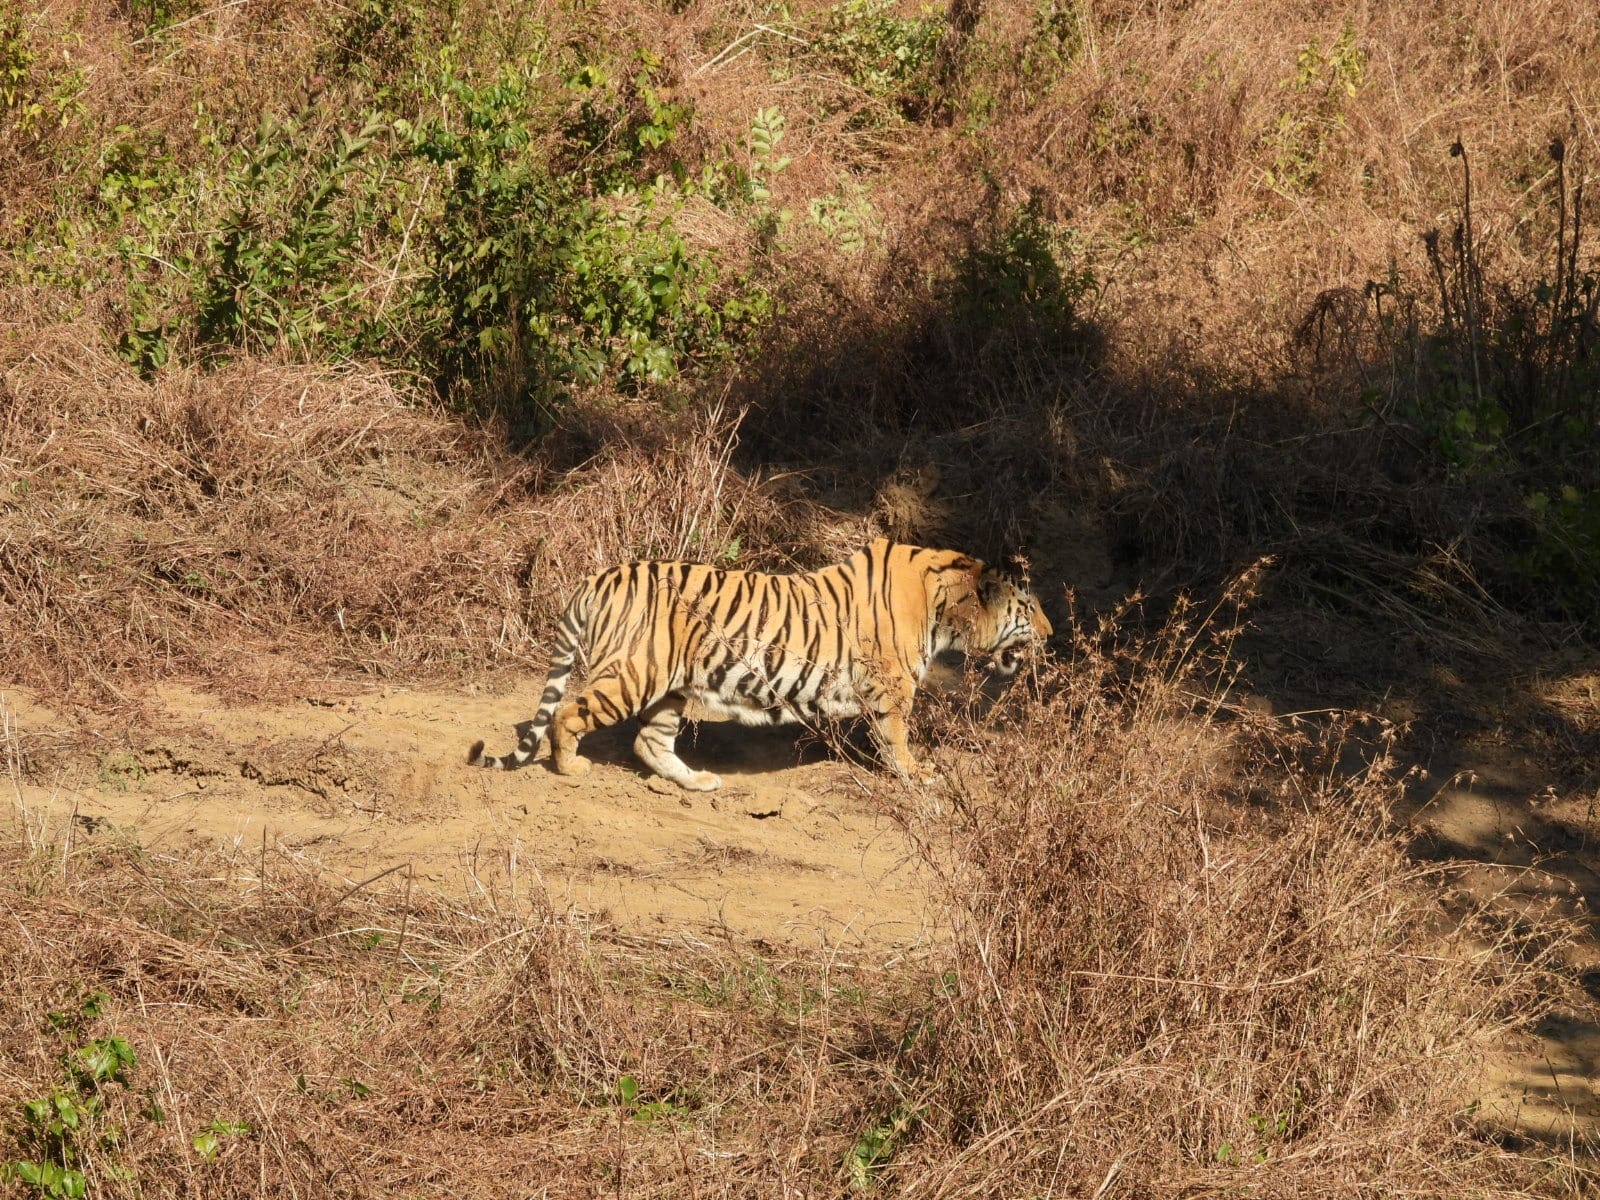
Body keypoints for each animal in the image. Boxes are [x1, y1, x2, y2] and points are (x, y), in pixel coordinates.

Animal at [468, 538, 1052, 791]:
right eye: (1028, 607)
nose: (1050, 635)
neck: (947, 607)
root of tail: (599, 576)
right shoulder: (893, 686)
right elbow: (898, 736)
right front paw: (917, 774)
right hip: (634, 673)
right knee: (568, 714)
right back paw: (570, 767)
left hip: (670, 688)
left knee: (648, 741)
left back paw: (697, 781)